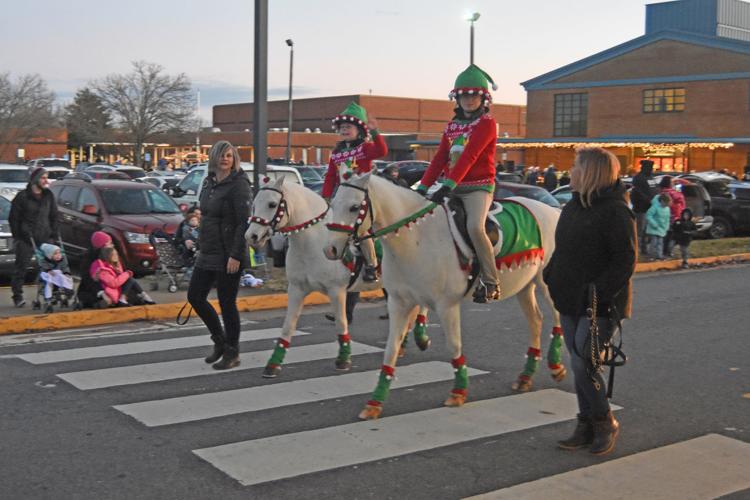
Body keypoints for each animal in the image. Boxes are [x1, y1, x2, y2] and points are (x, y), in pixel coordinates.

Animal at [248, 178, 428, 376]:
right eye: (254, 204)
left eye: (272, 204)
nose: (251, 236)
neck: (311, 242)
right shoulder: (296, 289)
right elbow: (288, 326)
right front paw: (273, 364)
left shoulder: (337, 291)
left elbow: (341, 323)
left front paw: (343, 359)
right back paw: (405, 343)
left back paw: (419, 337)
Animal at [324, 174, 564, 420]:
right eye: (332, 204)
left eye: (354, 207)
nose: (330, 249)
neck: (416, 237)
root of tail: (553, 210)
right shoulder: (399, 303)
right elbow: (391, 350)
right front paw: (375, 402)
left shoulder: (447, 305)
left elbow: (454, 345)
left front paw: (458, 391)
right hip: (525, 286)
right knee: (536, 320)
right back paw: (526, 377)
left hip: (547, 284)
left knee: (557, 318)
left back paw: (556, 366)